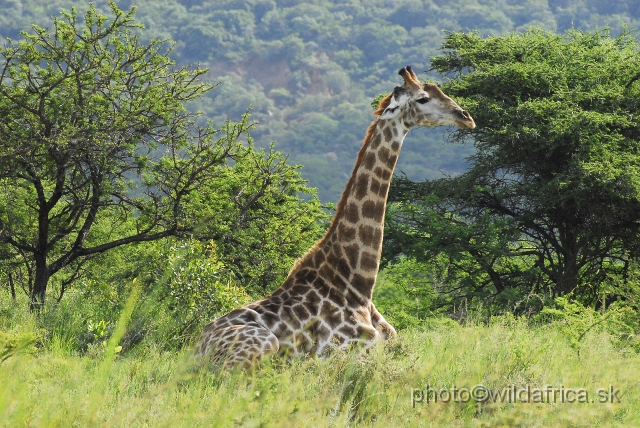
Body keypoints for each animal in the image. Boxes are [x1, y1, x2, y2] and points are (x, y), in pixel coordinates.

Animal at [195, 66, 476, 368]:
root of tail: (194, 349)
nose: (466, 117)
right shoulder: (348, 353)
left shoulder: (394, 347)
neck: (357, 281)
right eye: (423, 98)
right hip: (260, 347)